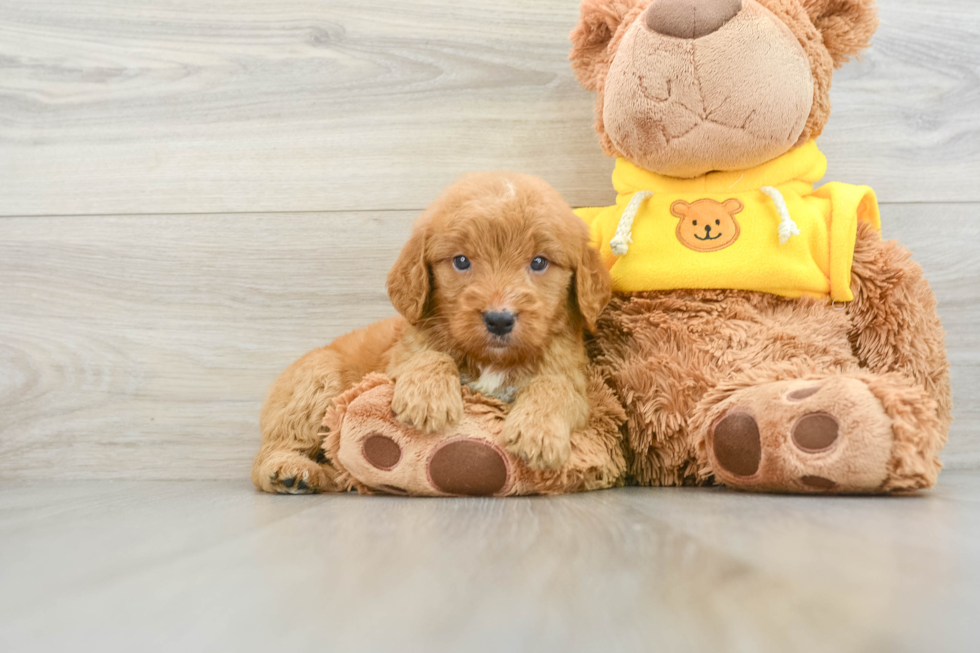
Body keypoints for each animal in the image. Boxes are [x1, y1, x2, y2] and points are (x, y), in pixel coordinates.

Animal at [249, 171, 608, 492]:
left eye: (539, 262)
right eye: (461, 261)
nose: (499, 319)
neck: (490, 360)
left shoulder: (574, 383)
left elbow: (554, 387)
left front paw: (538, 433)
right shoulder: (396, 362)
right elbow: (429, 356)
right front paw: (427, 398)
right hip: (316, 380)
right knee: (272, 450)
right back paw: (289, 471)